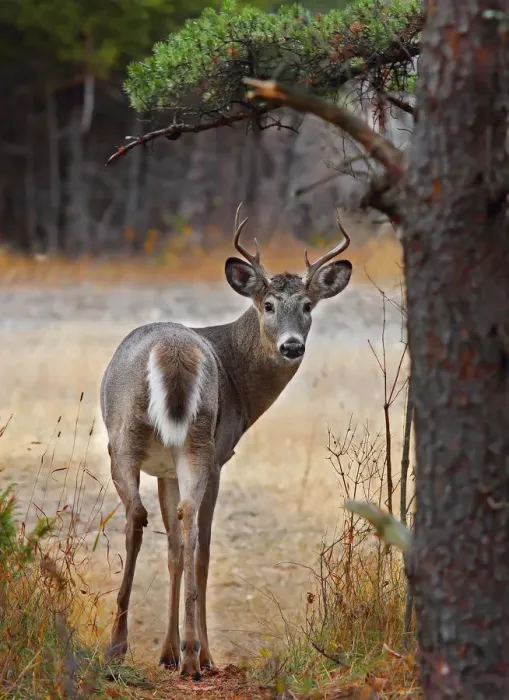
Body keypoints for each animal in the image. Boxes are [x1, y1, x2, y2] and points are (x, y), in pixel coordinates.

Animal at [100, 205, 352, 679]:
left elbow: (176, 548)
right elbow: (193, 548)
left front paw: (170, 651)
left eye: (308, 305)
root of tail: (173, 352)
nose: (292, 347)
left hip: (154, 440)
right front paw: (192, 652)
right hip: (179, 441)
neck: (238, 376)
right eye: (268, 305)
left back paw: (140, 647)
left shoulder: (170, 467)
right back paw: (183, 653)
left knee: (152, 518)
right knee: (182, 529)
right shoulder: (218, 456)